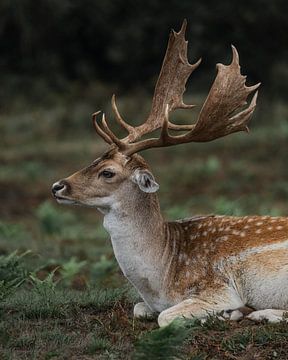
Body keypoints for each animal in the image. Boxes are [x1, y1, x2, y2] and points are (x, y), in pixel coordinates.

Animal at [51, 21, 288, 328]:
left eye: (108, 172)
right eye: (93, 159)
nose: (58, 186)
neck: (162, 280)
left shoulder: (218, 288)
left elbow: (165, 317)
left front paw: (226, 313)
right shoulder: (148, 302)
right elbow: (139, 308)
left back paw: (255, 313)